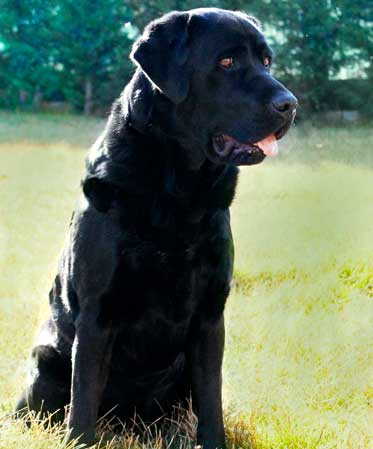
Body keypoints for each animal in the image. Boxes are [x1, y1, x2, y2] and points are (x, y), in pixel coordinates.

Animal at [16, 7, 296, 448]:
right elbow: (83, 400)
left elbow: (212, 399)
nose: (290, 104)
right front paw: (80, 439)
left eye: (266, 61)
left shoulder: (210, 315)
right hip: (45, 361)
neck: (176, 188)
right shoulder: (97, 313)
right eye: (227, 62)